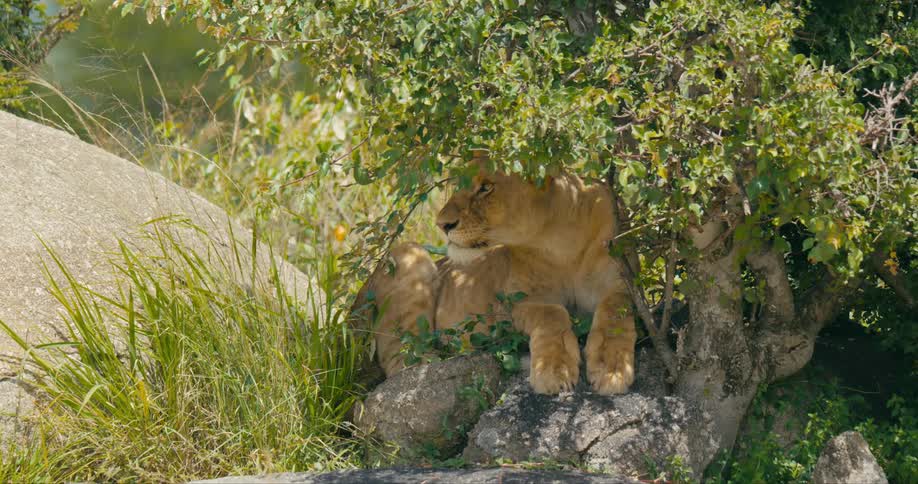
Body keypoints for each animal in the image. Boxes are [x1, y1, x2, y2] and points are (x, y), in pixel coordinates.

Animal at [356, 166, 636, 395]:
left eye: (486, 187)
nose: (442, 224)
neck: (562, 243)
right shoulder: (516, 300)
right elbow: (552, 313)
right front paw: (553, 371)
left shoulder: (621, 281)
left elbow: (616, 311)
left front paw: (611, 368)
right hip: (408, 252)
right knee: (402, 361)